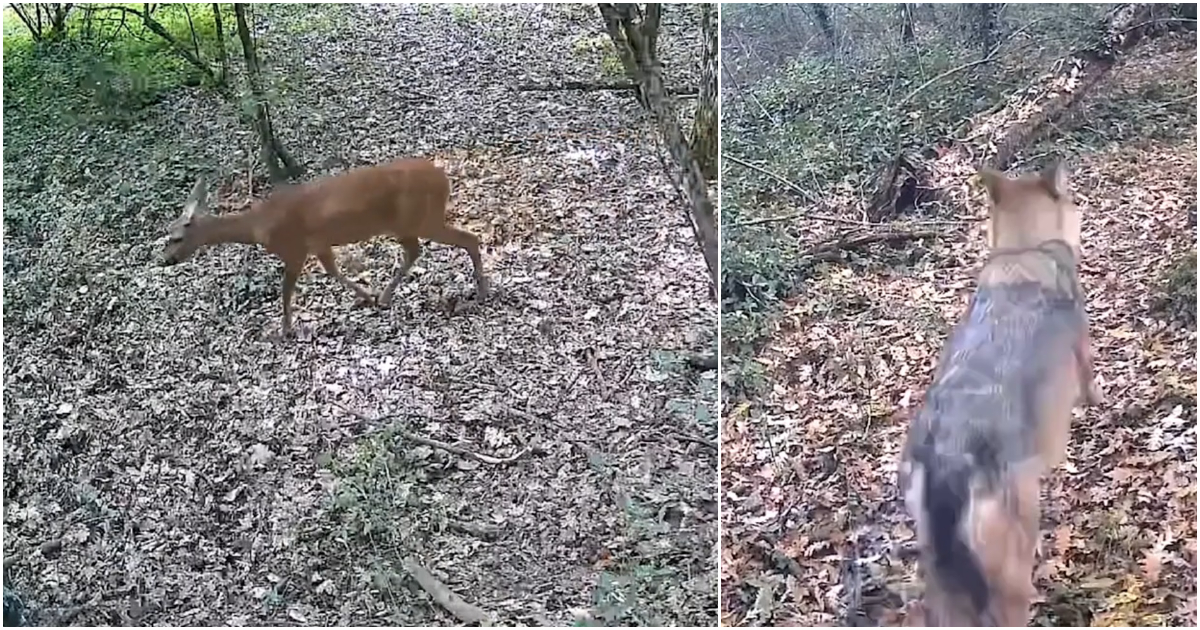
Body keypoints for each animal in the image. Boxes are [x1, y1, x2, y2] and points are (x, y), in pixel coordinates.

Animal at [158, 158, 487, 333]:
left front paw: (284, 331)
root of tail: (443, 178)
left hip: (420, 218)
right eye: (167, 234)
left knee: (468, 238)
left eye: (176, 237)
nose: (165, 259)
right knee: (417, 250)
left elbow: (286, 290)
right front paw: (367, 296)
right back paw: (385, 296)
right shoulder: (318, 245)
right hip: (407, 224)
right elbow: (333, 272)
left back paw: (482, 292)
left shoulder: (294, 248)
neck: (258, 225)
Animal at [902, 160, 1099, 624]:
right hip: (1013, 571)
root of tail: (947, 463)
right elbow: (1094, 388)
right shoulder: (1083, 350)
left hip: (944, 586)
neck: (1023, 252)